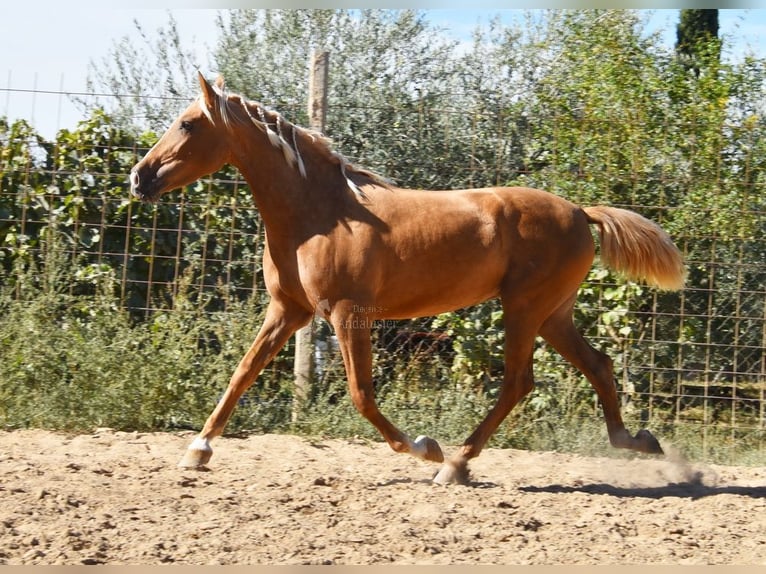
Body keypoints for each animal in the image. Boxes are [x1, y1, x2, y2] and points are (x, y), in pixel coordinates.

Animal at [129, 72, 688, 486]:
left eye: (187, 124)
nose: (140, 178)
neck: (318, 214)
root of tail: (579, 211)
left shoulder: (347, 314)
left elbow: (361, 394)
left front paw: (425, 447)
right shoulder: (289, 310)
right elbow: (242, 373)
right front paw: (197, 450)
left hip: (525, 309)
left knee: (517, 382)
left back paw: (455, 464)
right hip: (553, 314)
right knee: (597, 365)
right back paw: (636, 441)